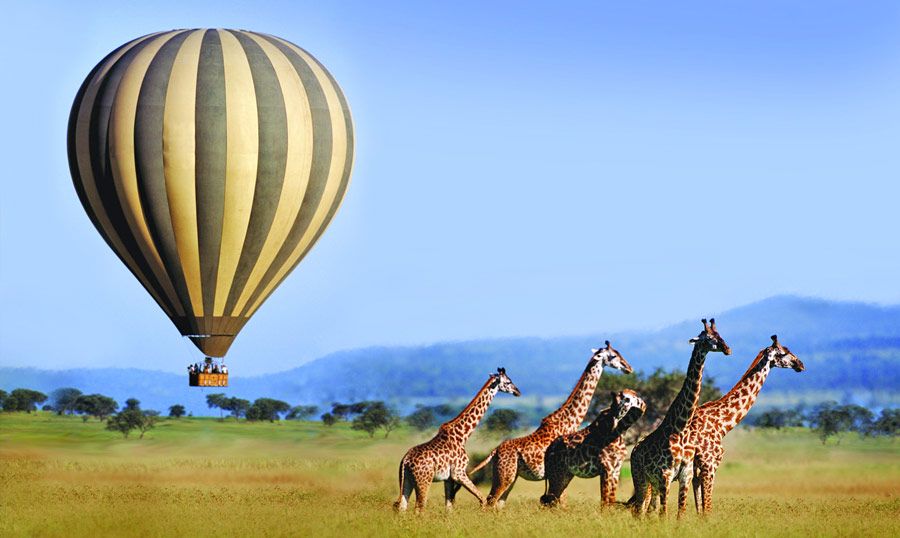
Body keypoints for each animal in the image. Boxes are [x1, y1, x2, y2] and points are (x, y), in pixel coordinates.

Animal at [394, 364, 520, 510]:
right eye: (508, 382)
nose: (518, 391)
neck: (463, 435)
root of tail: (405, 461)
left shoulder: (448, 478)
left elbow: (449, 507)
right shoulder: (459, 473)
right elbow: (482, 499)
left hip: (407, 480)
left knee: (402, 507)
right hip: (424, 480)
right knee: (419, 507)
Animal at [472, 342, 632, 504]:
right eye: (613, 356)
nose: (628, 367)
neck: (569, 421)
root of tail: (494, 452)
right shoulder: (561, 472)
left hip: (511, 477)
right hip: (504, 476)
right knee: (490, 502)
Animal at [624, 318, 732, 516]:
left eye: (720, 334)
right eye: (708, 338)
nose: (727, 349)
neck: (680, 428)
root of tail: (634, 451)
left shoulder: (686, 475)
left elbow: (679, 513)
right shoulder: (665, 475)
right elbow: (664, 514)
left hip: (653, 483)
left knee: (648, 511)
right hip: (641, 479)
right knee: (639, 510)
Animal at [672, 332, 804, 512]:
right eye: (784, 352)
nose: (801, 364)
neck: (722, 422)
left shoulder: (696, 472)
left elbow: (700, 509)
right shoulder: (708, 465)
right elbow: (707, 509)